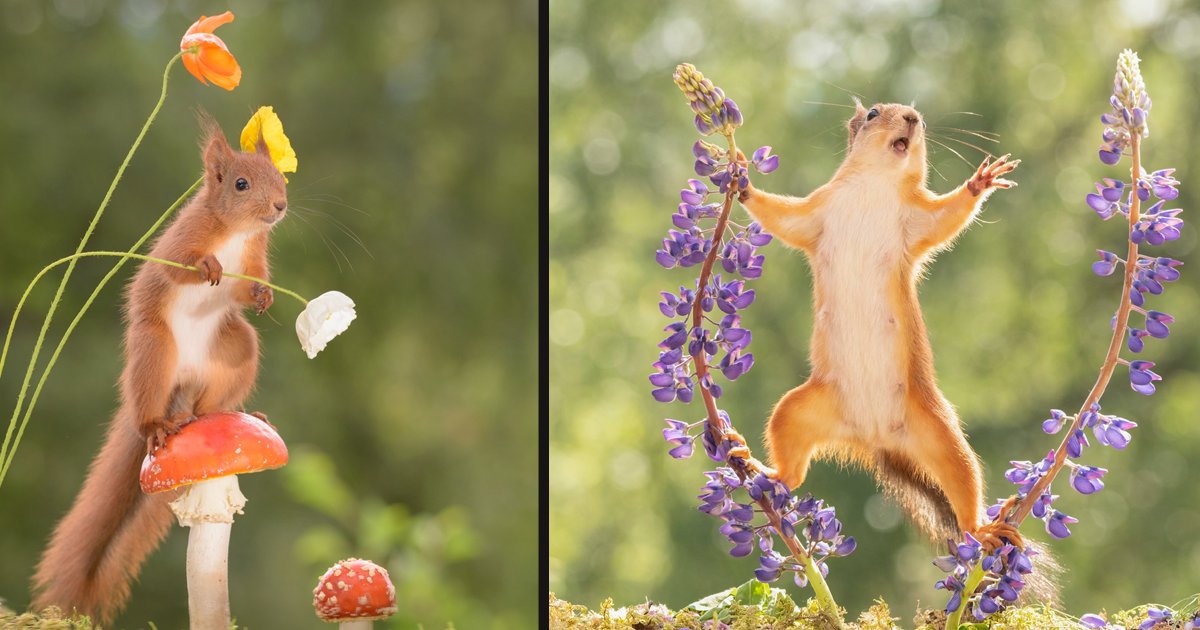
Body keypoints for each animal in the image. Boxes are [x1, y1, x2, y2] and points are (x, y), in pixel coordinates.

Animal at [33, 116, 288, 619]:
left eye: (281, 177)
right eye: (240, 183)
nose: (280, 206)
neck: (236, 232)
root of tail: (181, 392)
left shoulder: (253, 256)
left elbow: (245, 286)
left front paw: (263, 295)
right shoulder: (182, 239)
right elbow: (179, 267)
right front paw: (207, 266)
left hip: (235, 349)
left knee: (213, 398)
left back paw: (233, 412)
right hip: (154, 351)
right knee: (149, 402)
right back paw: (155, 426)